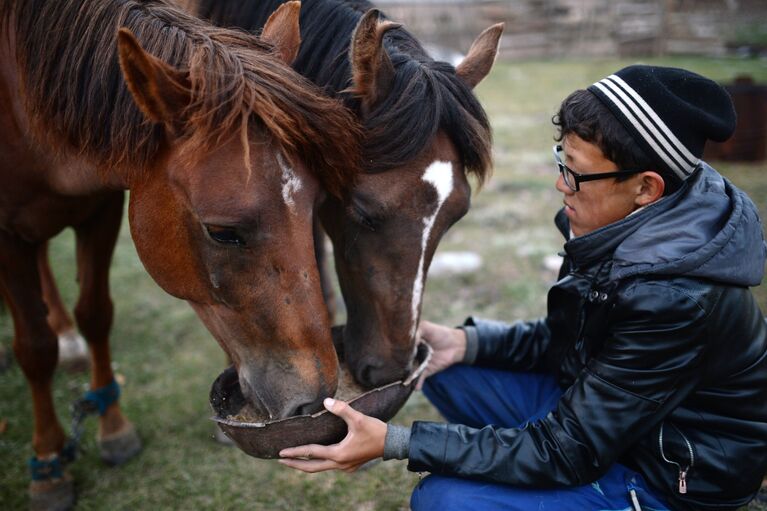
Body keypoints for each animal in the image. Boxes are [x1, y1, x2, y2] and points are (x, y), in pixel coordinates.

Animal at [0, 0, 360, 508]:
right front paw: (48, 465)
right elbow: (34, 347)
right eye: (222, 232)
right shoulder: (7, 234)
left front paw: (113, 428)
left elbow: (95, 314)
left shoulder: (102, 208)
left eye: (314, 205)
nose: (316, 397)